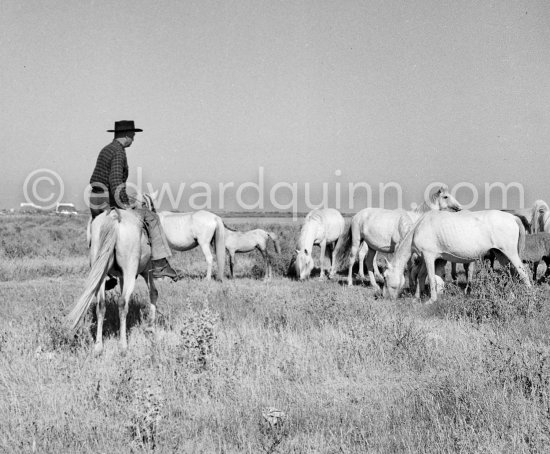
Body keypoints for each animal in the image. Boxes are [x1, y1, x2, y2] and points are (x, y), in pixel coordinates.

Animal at [66, 209, 160, 354]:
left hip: (101, 271)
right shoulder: (147, 270)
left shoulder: (121, 277)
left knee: (101, 305)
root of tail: (114, 216)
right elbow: (153, 292)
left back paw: (98, 347)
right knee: (122, 303)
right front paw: (151, 328)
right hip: (129, 272)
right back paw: (123, 345)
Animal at [384, 209, 536, 302]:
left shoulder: (428, 256)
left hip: (510, 253)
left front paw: (431, 300)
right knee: (511, 273)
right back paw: (512, 296)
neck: (418, 228)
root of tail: (513, 217)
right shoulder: (429, 257)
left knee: (523, 273)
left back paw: (530, 296)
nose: (387, 298)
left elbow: (430, 278)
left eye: (385, 277)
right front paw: (416, 298)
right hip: (501, 255)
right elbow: (421, 276)